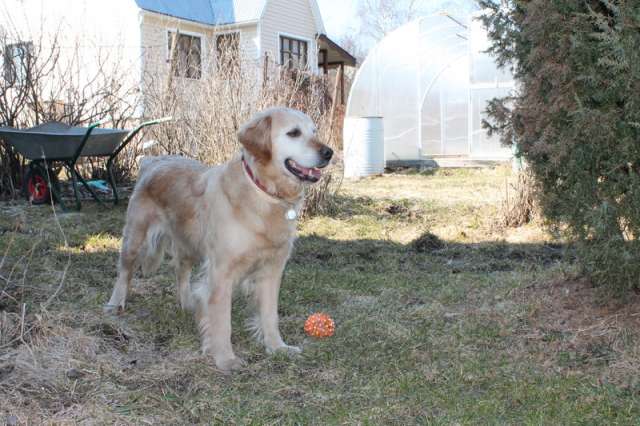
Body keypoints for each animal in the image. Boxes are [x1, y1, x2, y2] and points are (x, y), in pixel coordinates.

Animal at [104, 106, 336, 370]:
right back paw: (115, 303)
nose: (329, 152)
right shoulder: (221, 271)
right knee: (125, 271)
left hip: (189, 242)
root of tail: (152, 160)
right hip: (135, 236)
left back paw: (188, 303)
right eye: (294, 133)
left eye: (314, 131)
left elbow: (270, 314)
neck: (264, 193)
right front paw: (225, 358)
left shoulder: (272, 269)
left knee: (181, 270)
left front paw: (277, 347)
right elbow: (222, 319)